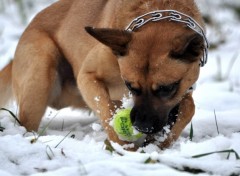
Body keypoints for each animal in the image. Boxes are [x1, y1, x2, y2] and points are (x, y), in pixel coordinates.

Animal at [0, 0, 207, 149]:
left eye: (167, 88)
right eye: (130, 85)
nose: (142, 126)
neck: (159, 9)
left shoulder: (185, 88)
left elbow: (189, 107)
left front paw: (161, 141)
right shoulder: (87, 76)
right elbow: (106, 110)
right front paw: (125, 148)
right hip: (42, 69)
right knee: (27, 124)